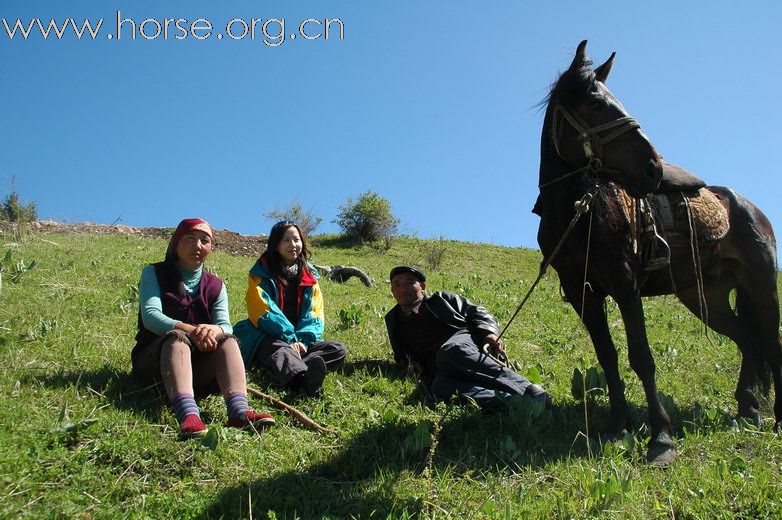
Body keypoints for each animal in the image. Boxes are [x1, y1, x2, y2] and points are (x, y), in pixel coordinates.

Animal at [536, 40, 780, 464]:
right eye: (596, 104)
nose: (653, 168)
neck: (579, 213)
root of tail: (752, 208)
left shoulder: (625, 284)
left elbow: (641, 357)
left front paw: (660, 438)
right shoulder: (582, 292)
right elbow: (608, 355)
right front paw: (617, 424)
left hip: (762, 285)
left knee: (773, 345)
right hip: (706, 297)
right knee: (749, 342)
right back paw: (747, 407)